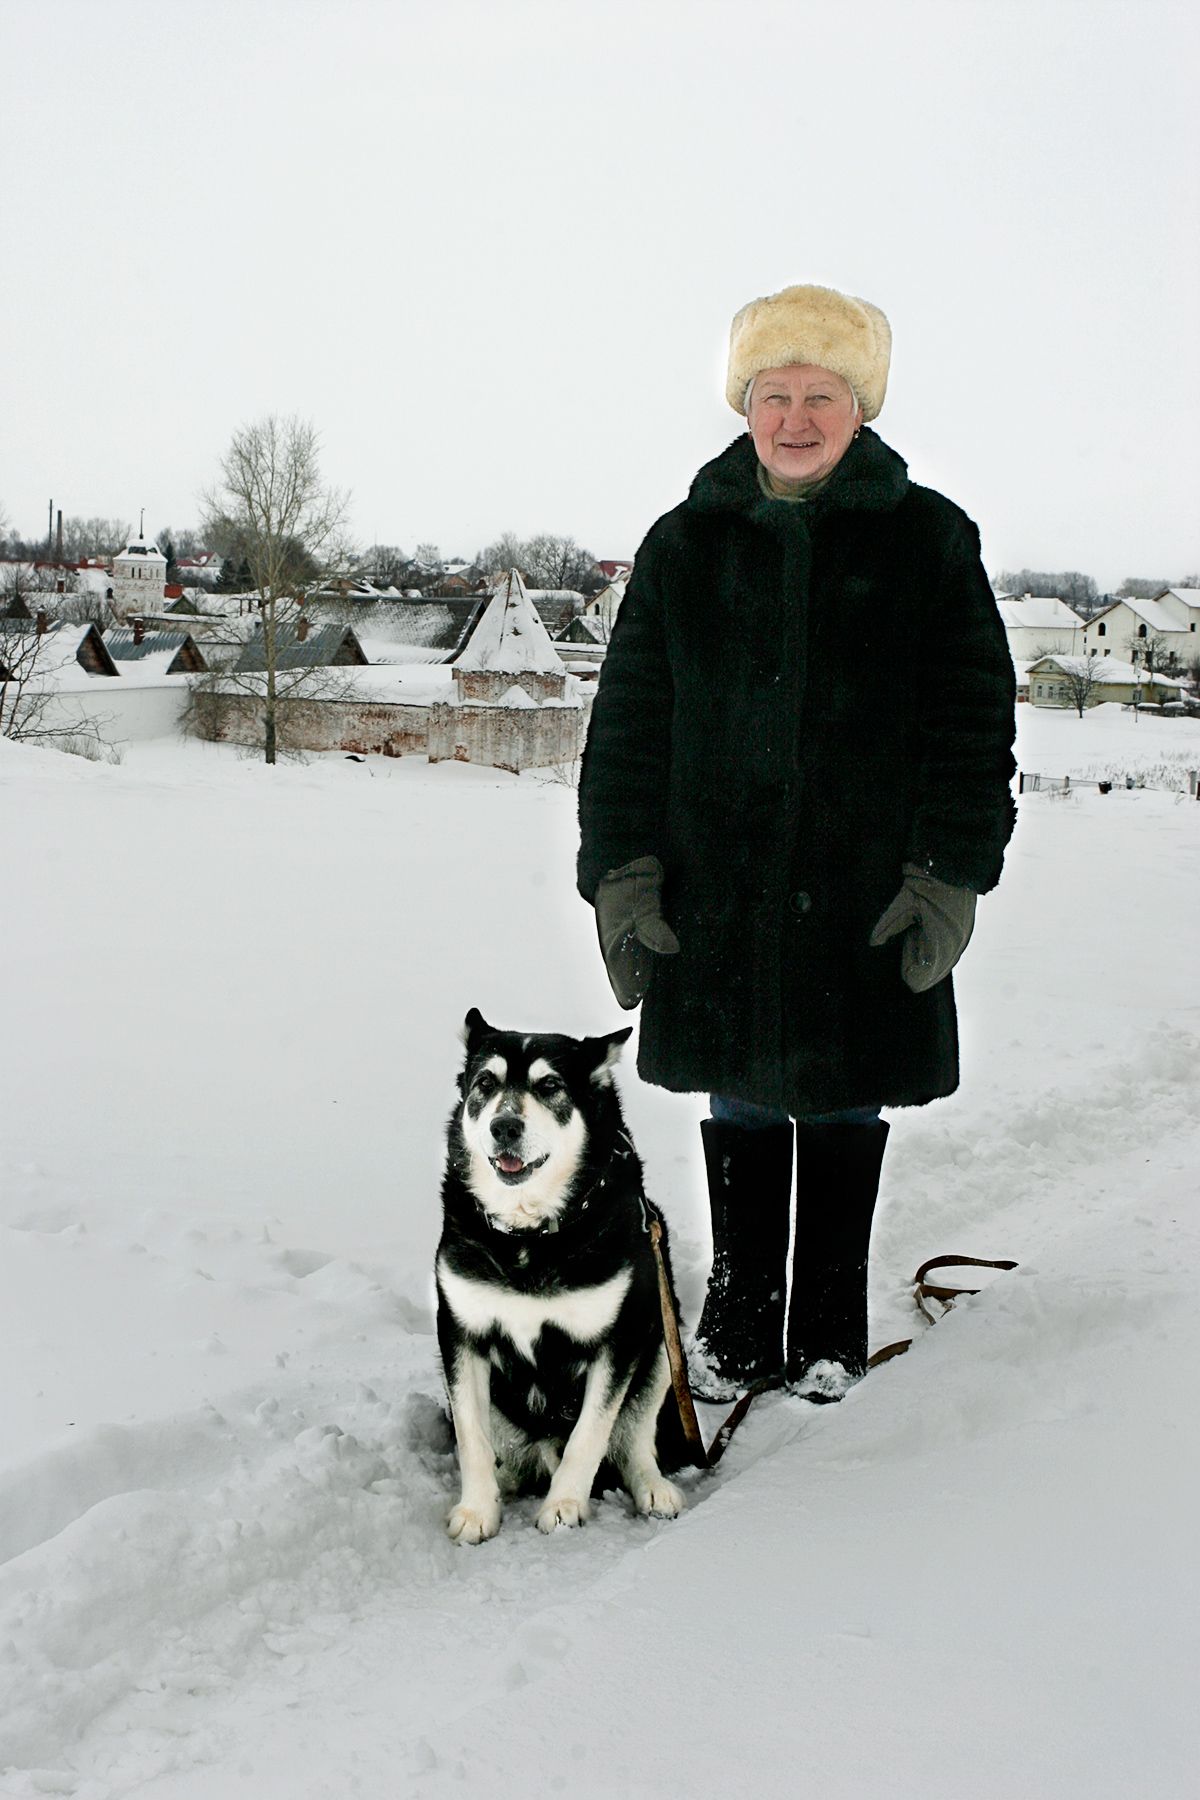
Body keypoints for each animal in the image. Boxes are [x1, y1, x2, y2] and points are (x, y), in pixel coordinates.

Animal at [437, 1008, 690, 1540]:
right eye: (485, 1083)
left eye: (550, 1085)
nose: (504, 1126)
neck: (530, 1235)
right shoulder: (461, 1333)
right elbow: (472, 1439)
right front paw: (476, 1510)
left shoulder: (618, 1340)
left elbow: (590, 1435)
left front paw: (565, 1506)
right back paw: (503, 1482)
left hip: (661, 1342)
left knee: (633, 1442)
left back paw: (653, 1487)